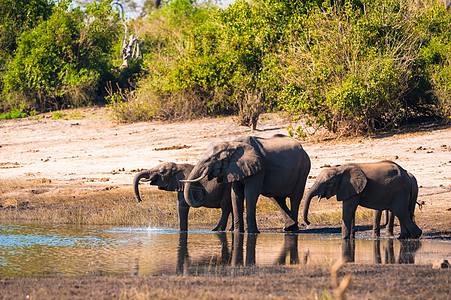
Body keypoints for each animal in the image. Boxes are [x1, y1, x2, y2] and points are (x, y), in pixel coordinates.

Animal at [180, 134, 310, 234]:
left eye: (211, 159)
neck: (233, 144)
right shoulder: (235, 169)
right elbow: (235, 194)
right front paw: (238, 233)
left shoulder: (258, 168)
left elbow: (250, 194)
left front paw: (252, 233)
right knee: (276, 198)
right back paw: (289, 227)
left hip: (304, 168)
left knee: (295, 198)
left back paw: (293, 230)